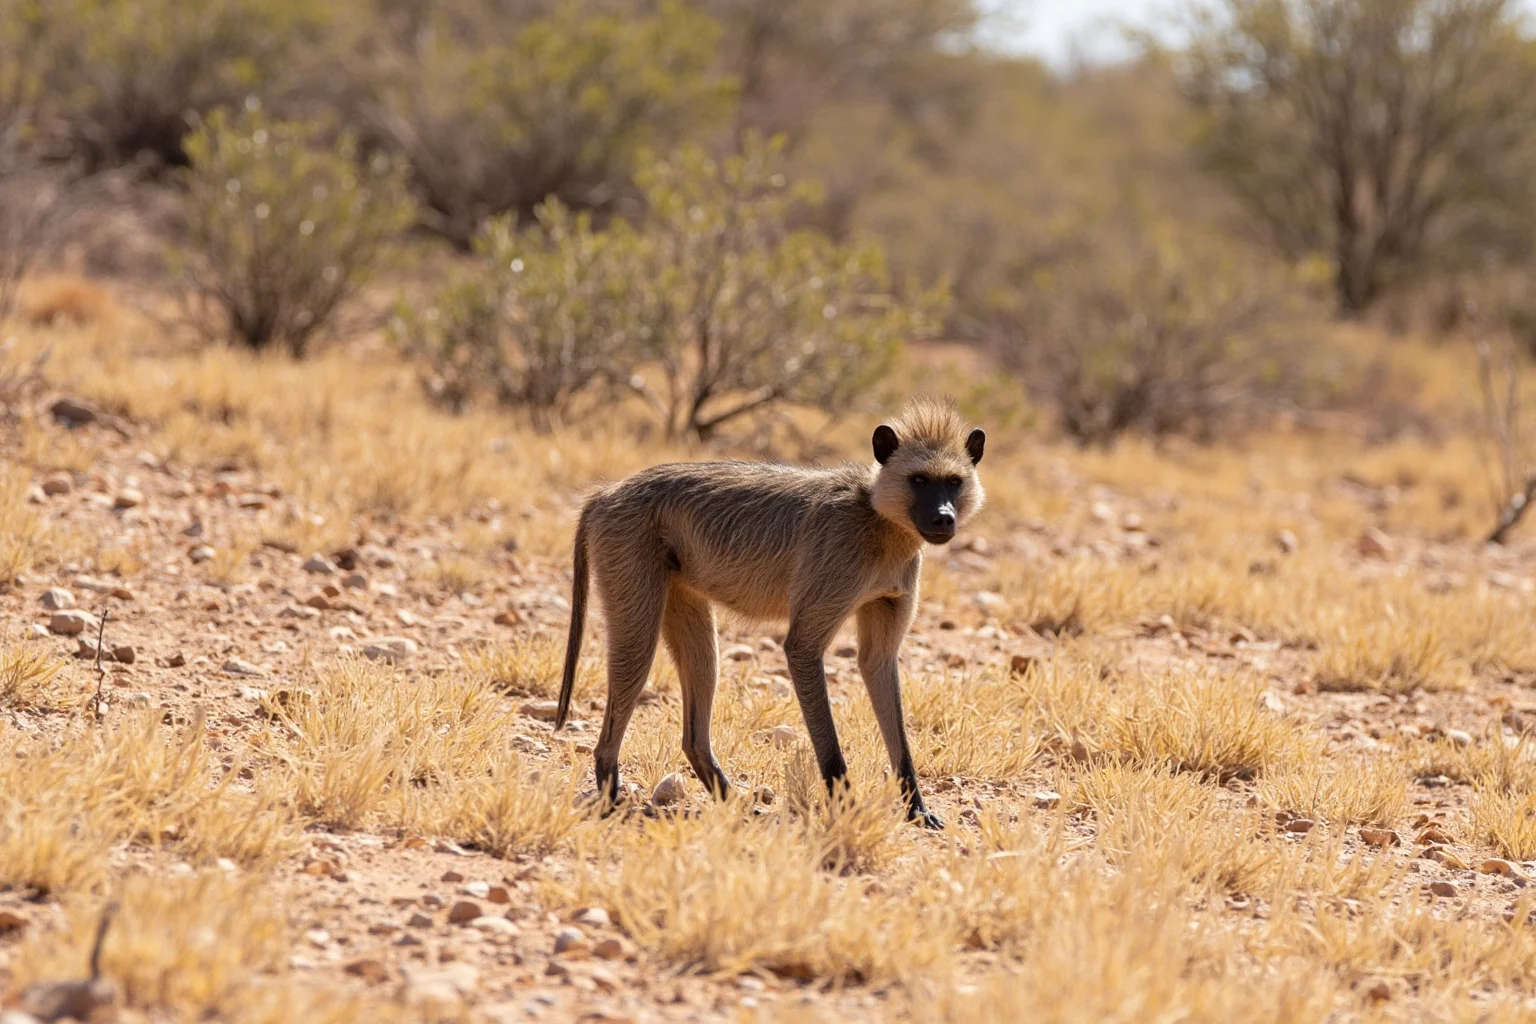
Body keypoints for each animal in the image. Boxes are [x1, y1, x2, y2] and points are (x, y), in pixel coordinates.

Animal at [554, 396, 986, 829]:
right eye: (919, 480)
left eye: (953, 482)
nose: (943, 518)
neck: (879, 519)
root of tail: (608, 492)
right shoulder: (833, 576)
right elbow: (803, 653)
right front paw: (846, 808)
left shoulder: (887, 596)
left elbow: (876, 664)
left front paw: (916, 807)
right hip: (628, 551)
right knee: (634, 662)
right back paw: (610, 796)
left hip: (677, 585)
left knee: (697, 701)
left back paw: (730, 801)